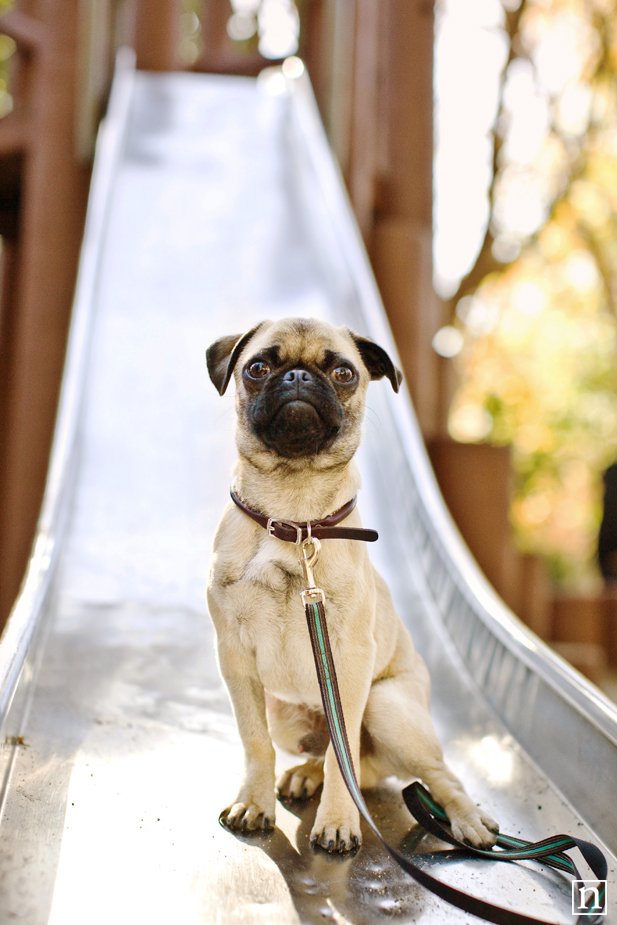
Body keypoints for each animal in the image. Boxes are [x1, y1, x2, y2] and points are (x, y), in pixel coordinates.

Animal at [205, 318, 498, 852]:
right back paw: (305, 773)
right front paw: (254, 803)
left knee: (422, 772)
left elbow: (344, 764)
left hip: (386, 706)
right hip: (284, 712)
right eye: (257, 368)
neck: (295, 515)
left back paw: (467, 820)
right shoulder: (234, 657)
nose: (298, 376)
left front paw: (338, 821)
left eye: (343, 373)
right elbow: (255, 743)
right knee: (346, 760)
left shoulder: (352, 661)